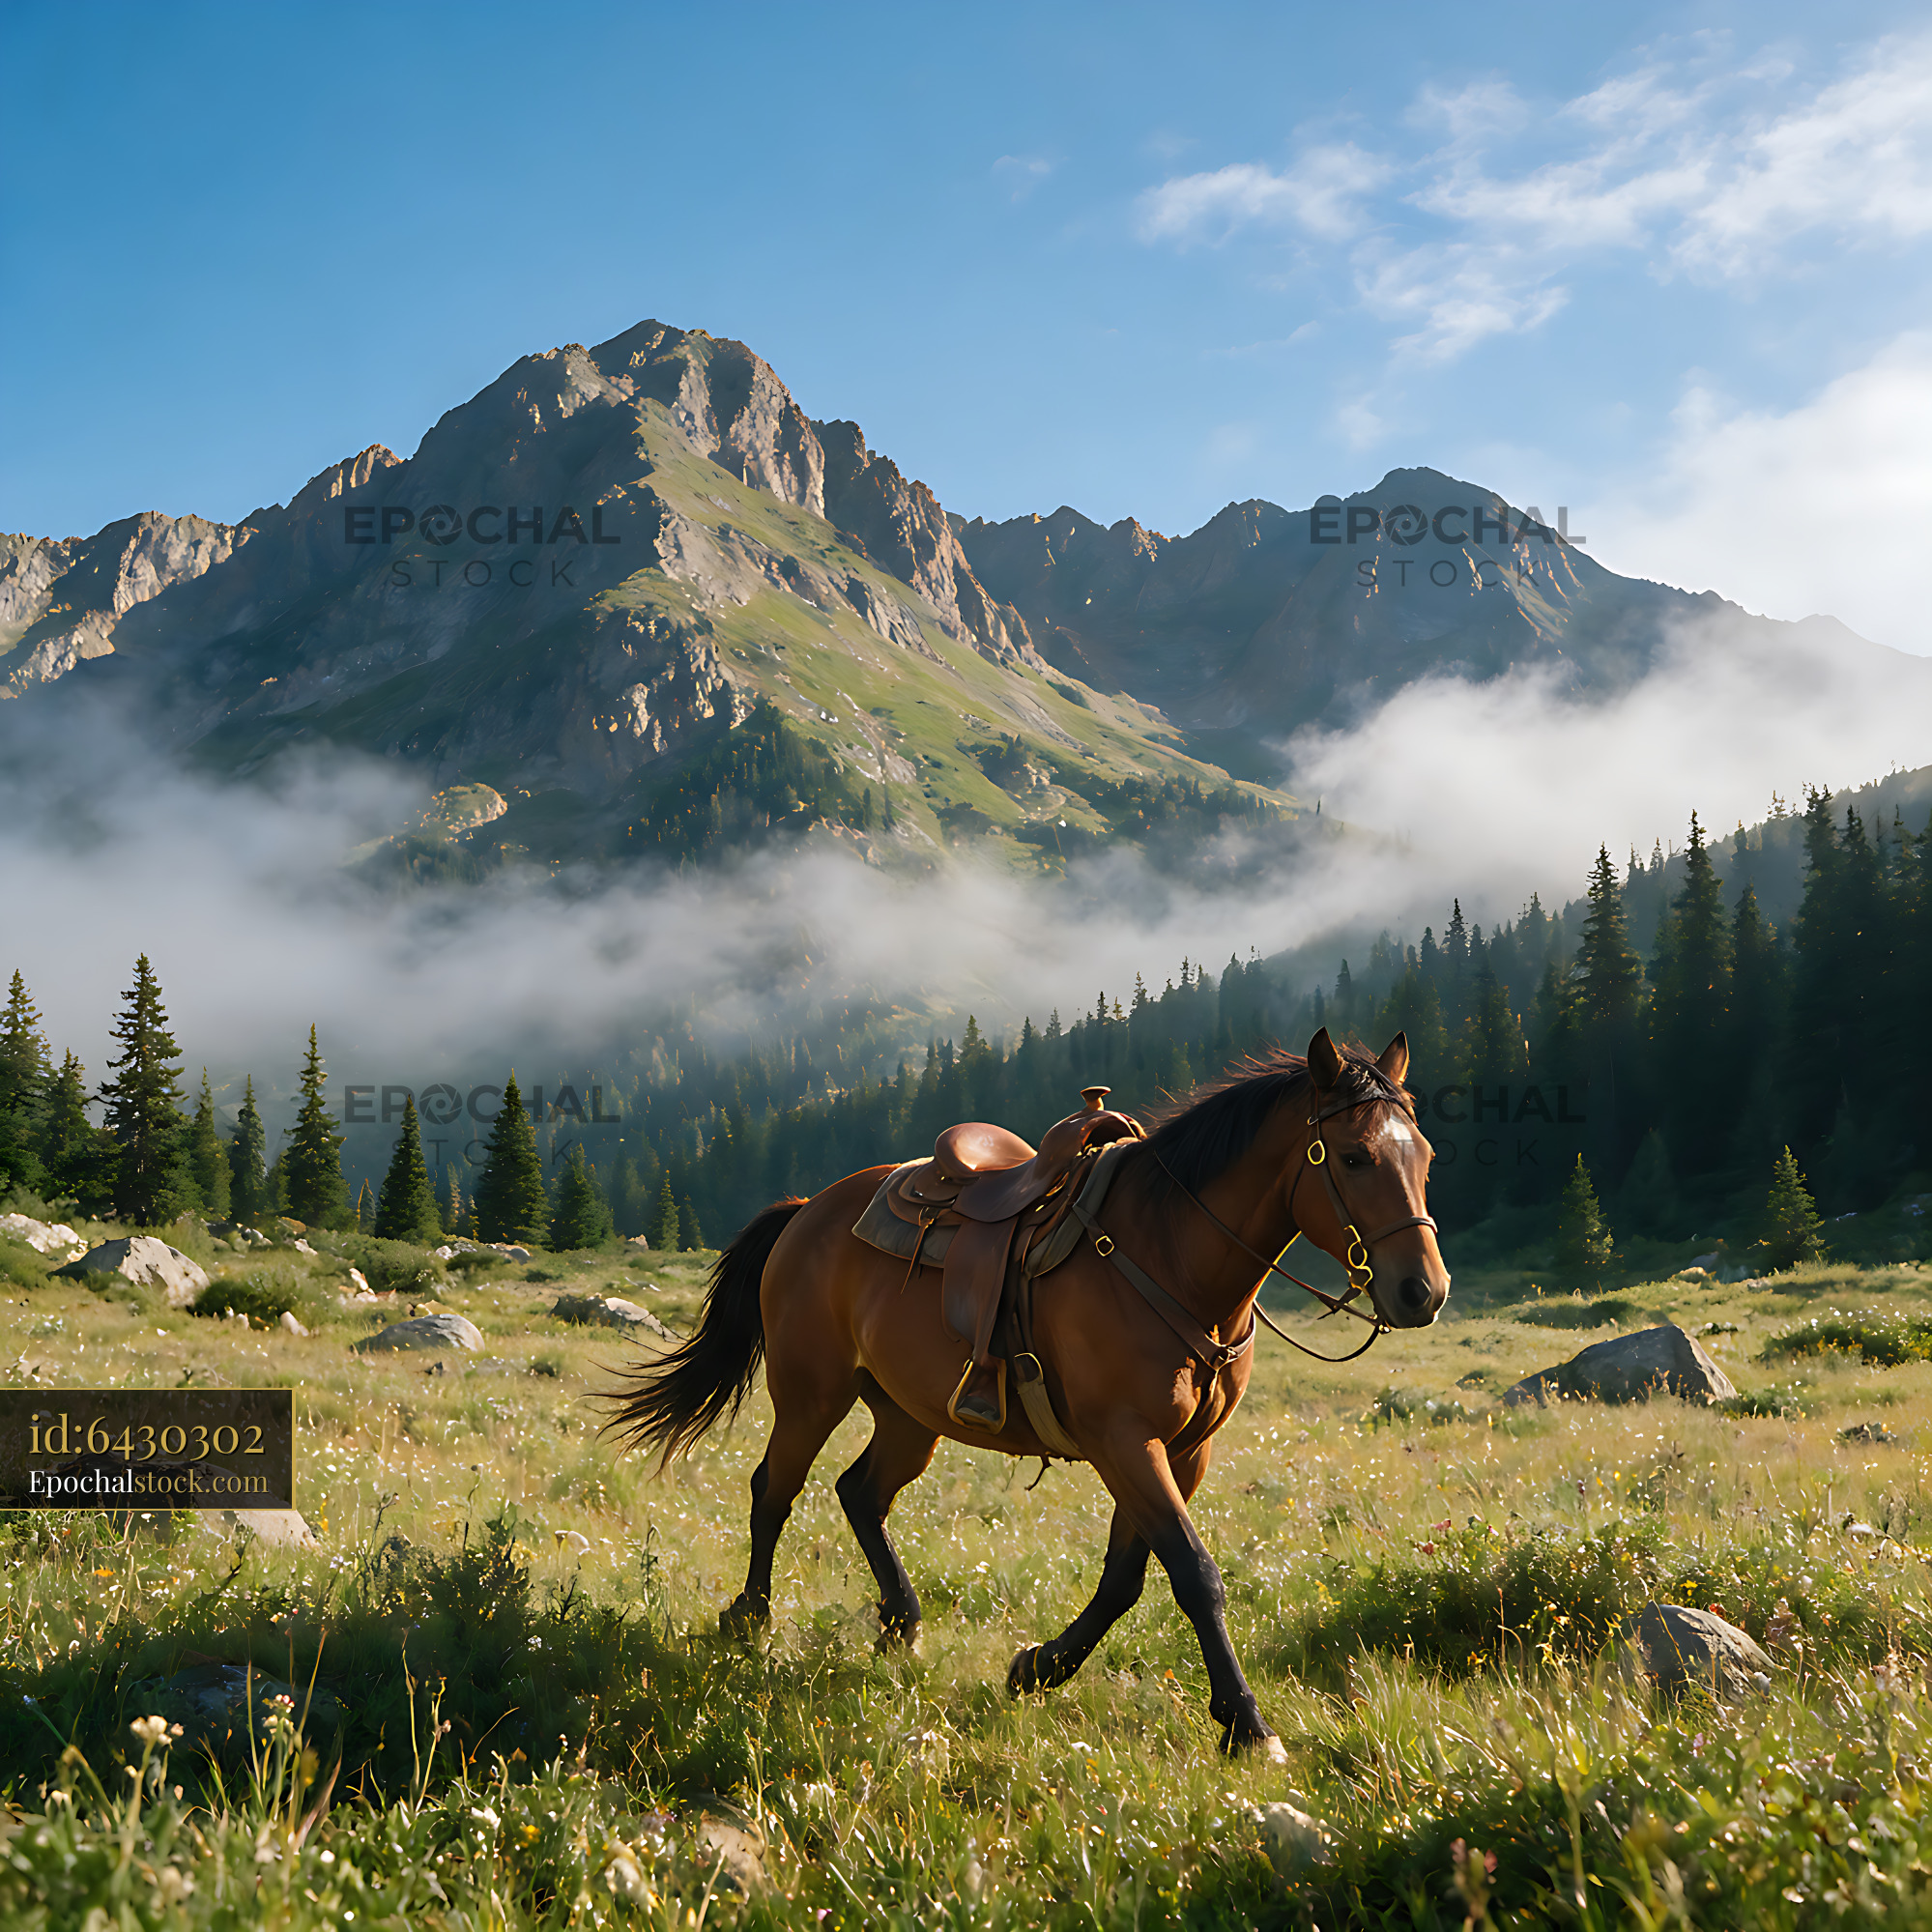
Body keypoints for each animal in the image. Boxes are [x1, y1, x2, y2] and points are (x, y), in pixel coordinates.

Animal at [603, 1027, 1448, 1757]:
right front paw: (1245, 1724)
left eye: (1426, 1156)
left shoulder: (1181, 1451)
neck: (1169, 1255)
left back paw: (899, 1621)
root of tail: (807, 1210)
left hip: (909, 1413)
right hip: (811, 1393)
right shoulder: (1122, 1440)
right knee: (773, 1488)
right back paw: (749, 1617)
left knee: (860, 1492)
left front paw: (1038, 1667)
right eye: (1353, 1156)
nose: (1423, 1291)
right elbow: (1193, 1571)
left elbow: (1126, 1576)